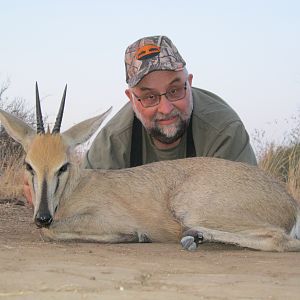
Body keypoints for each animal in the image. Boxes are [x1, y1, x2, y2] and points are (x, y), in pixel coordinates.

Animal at [0, 84, 300, 251]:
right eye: (29, 165)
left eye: (62, 166)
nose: (42, 216)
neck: (75, 189)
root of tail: (290, 202)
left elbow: (50, 233)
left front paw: (132, 236)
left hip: (193, 209)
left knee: (282, 241)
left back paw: (194, 236)